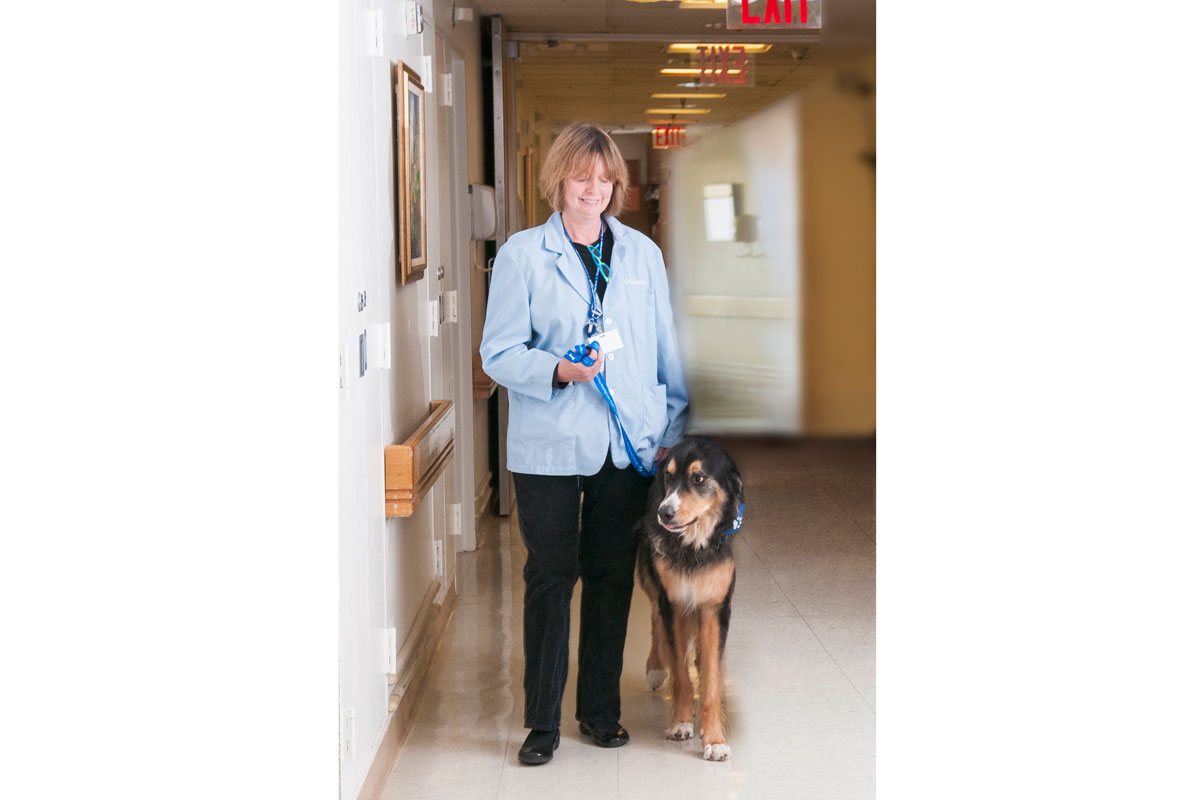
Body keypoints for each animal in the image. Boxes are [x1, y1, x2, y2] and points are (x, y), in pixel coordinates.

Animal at [638, 434, 739, 762]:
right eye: (669, 477)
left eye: (699, 478)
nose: (665, 512)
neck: (693, 546)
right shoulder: (673, 604)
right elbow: (681, 675)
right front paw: (682, 723)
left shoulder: (715, 607)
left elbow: (711, 680)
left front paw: (715, 739)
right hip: (649, 576)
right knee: (654, 616)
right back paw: (656, 667)